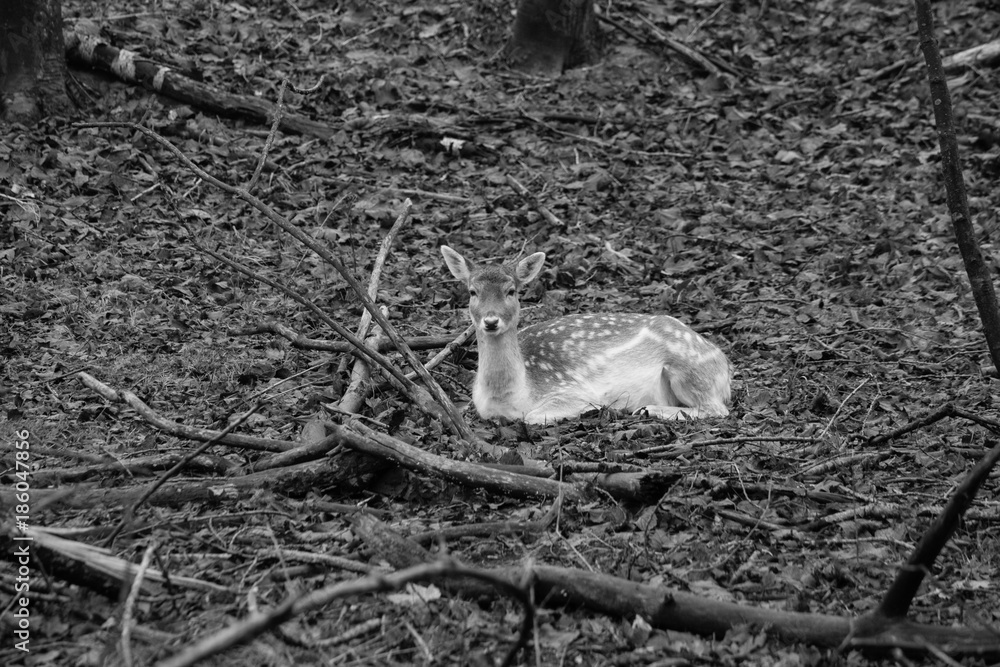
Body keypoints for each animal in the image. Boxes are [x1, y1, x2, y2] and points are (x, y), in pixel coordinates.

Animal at [441, 245, 732, 424]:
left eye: (511, 290)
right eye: (472, 292)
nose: (491, 321)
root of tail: (724, 365)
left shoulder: (568, 390)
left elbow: (533, 416)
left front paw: (595, 408)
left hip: (688, 369)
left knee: (717, 409)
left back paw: (646, 409)